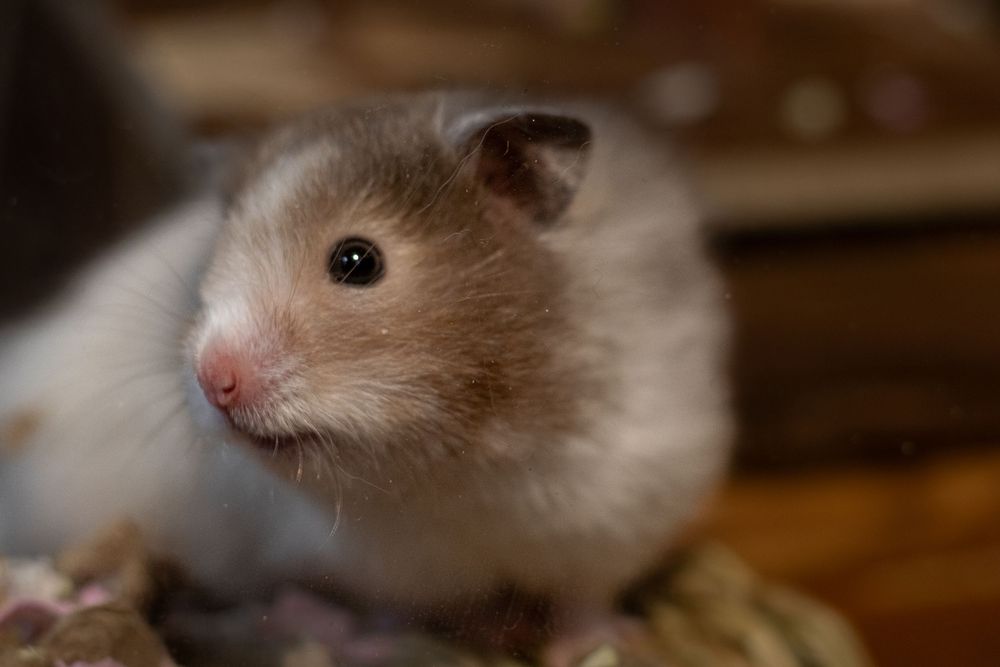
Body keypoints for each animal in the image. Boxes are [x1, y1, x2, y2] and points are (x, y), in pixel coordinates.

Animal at [0, 91, 732, 615]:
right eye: (215, 257)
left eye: (358, 261)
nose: (213, 381)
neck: (452, 465)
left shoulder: (624, 507)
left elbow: (587, 598)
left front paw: (594, 642)